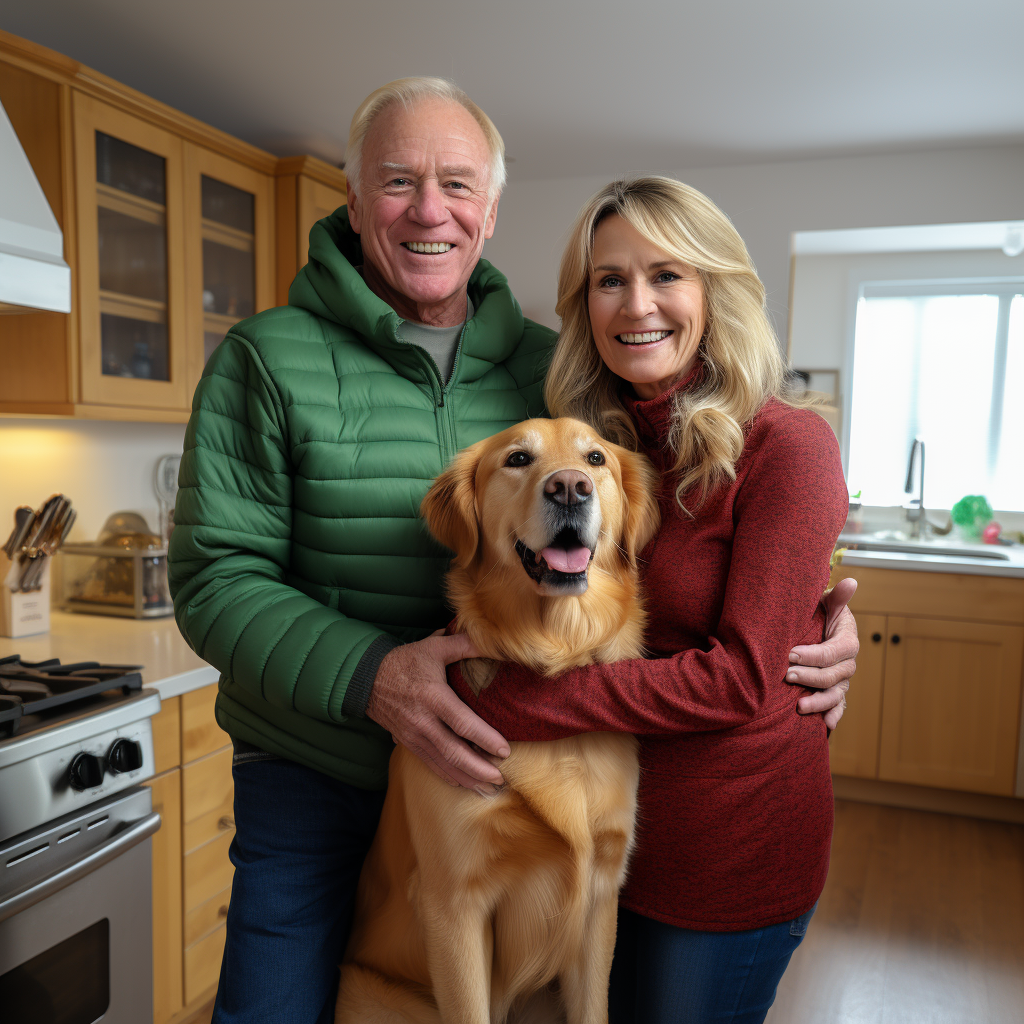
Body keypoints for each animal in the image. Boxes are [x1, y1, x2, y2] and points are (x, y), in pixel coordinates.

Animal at [331, 417, 659, 1024]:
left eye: (596, 458)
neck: (550, 664)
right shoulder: (453, 906)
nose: (570, 488)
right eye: (518, 459)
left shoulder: (601, 898)